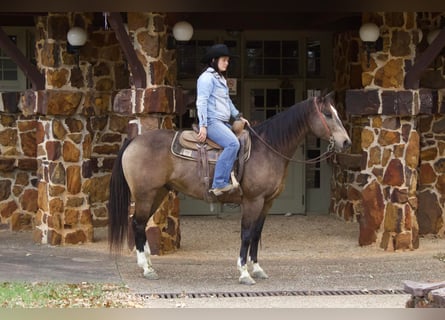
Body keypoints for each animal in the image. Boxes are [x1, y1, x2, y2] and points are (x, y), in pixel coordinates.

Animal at [107, 92, 350, 284]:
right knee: (137, 223)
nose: (346, 142)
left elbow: (257, 234)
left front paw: (257, 269)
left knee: (140, 224)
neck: (267, 148)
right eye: (328, 114)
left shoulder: (267, 202)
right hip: (145, 194)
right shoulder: (253, 201)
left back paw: (148, 264)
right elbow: (246, 234)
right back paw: (147, 268)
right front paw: (244, 273)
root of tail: (134, 141)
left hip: (158, 193)